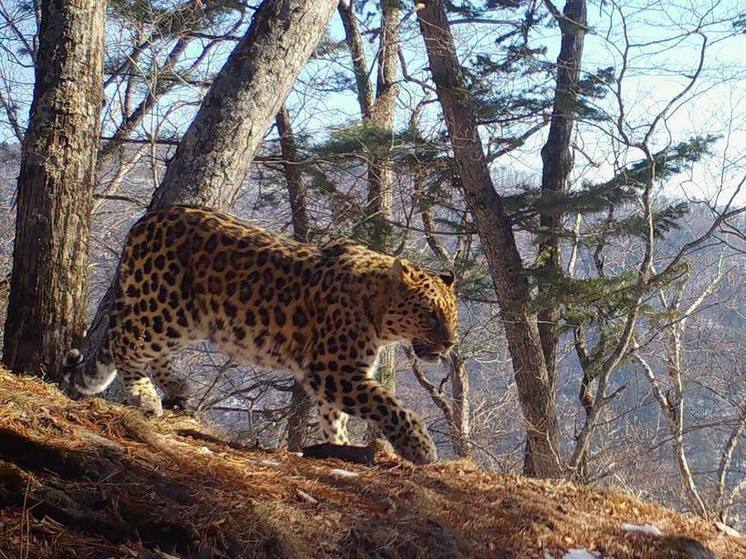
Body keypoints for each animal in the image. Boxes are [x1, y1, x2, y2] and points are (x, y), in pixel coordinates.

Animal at [64, 206, 456, 464]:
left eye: (451, 316)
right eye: (429, 314)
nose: (450, 343)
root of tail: (147, 218)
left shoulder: (338, 376)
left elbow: (335, 417)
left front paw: (340, 444)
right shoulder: (334, 371)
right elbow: (388, 404)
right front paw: (421, 447)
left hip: (185, 317)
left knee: (141, 345)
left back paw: (177, 383)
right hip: (165, 306)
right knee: (124, 342)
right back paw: (145, 395)